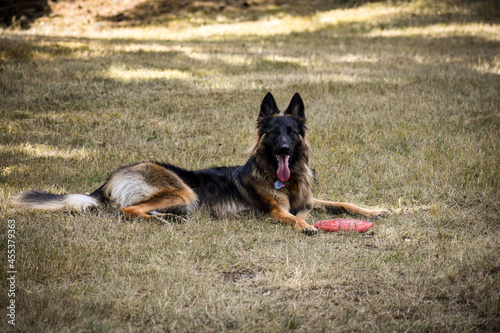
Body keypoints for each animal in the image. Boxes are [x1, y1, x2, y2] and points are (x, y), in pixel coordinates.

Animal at [11, 92, 386, 232]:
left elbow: (344, 203)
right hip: (183, 191)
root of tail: (108, 180)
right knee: (127, 211)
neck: (285, 177)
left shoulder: (310, 198)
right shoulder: (276, 211)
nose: (282, 149)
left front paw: (374, 210)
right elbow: (293, 218)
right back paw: (163, 221)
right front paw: (306, 226)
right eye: (273, 133)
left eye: (291, 133)